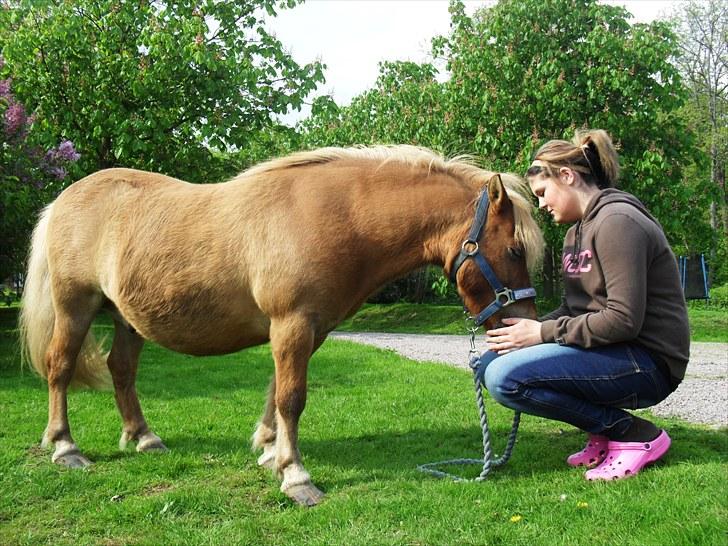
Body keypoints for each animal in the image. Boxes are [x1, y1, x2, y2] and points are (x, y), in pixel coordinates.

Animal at [19, 146, 544, 506]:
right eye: (515, 249)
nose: (521, 326)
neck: (336, 217)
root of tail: (65, 199)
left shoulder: (305, 331)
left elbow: (277, 392)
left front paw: (271, 452)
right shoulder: (292, 324)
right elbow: (292, 397)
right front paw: (296, 476)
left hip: (127, 319)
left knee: (122, 371)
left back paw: (143, 437)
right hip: (75, 307)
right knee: (60, 367)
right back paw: (65, 447)